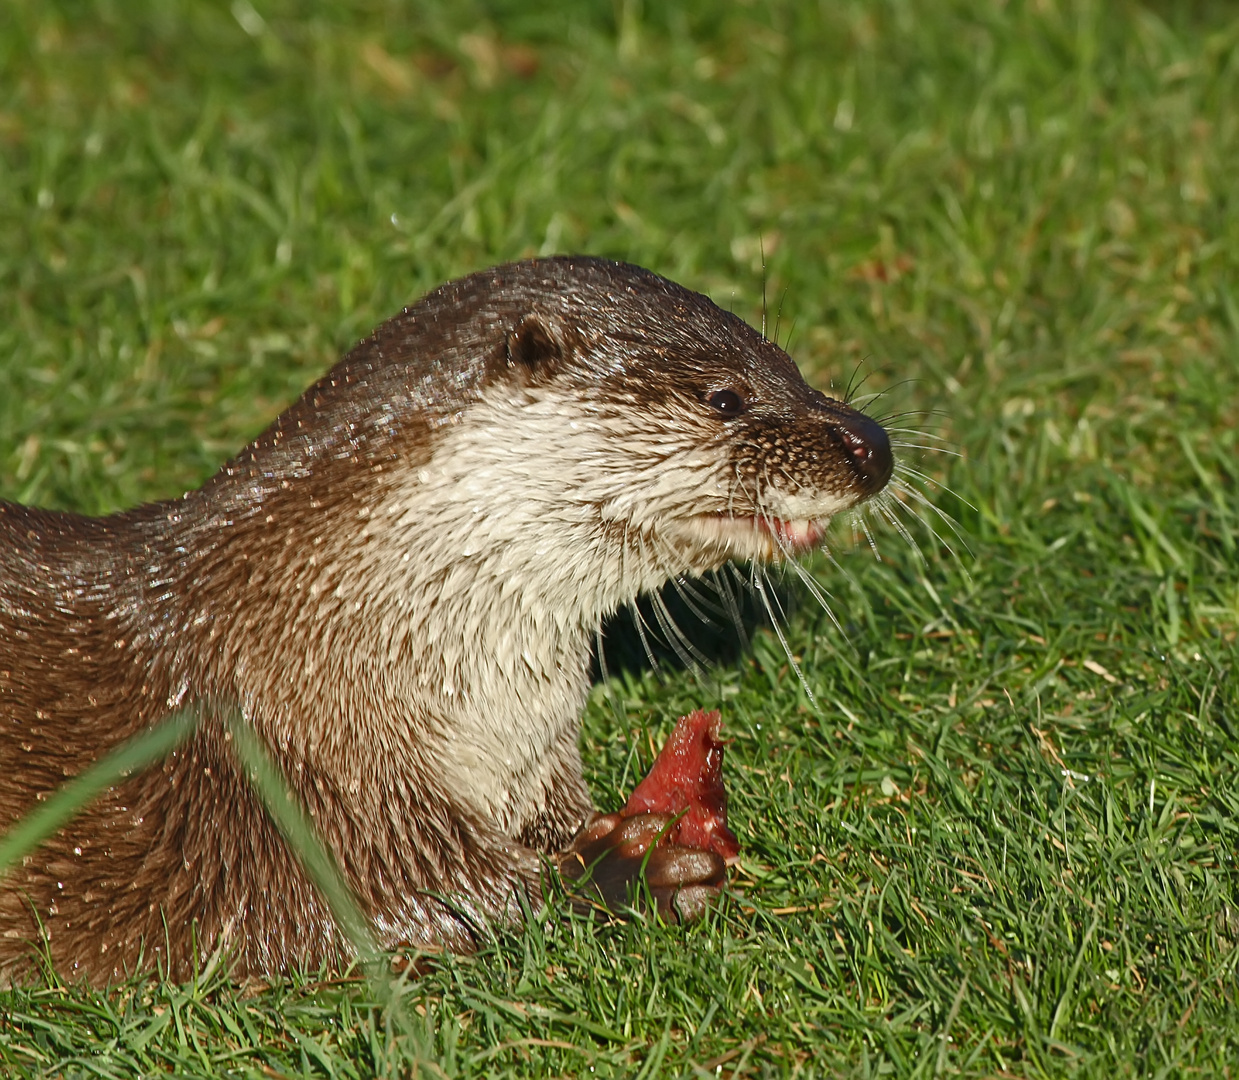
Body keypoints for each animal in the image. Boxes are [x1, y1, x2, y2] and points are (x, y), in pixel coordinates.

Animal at [0, 257, 892, 980]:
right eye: (725, 398)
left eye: (788, 363)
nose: (871, 444)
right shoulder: (307, 797)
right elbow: (405, 901)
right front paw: (626, 873)